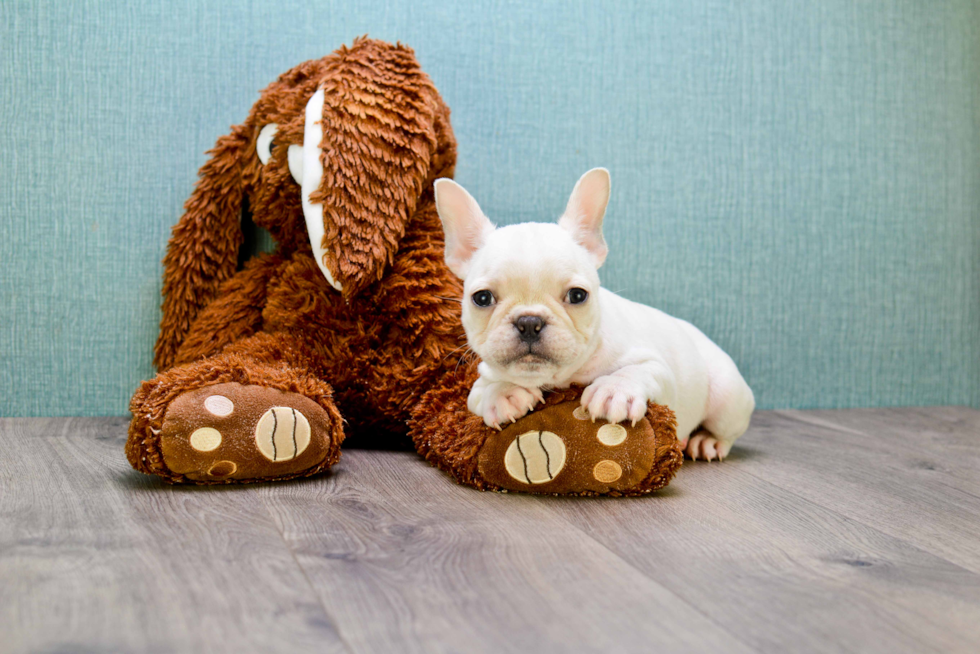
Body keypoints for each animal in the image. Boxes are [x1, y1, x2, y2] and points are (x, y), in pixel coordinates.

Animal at [432, 172, 756, 464]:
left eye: (577, 295)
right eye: (482, 298)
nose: (529, 322)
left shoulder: (657, 367)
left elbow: (637, 370)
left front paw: (613, 390)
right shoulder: (482, 377)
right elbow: (480, 391)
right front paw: (503, 394)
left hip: (727, 397)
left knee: (727, 430)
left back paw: (706, 441)